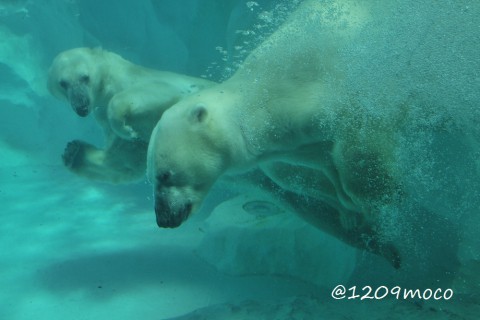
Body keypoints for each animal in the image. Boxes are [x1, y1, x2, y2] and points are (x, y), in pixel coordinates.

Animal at [48, 47, 214, 182]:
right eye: (63, 83)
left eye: (85, 77)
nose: (81, 106)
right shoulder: (103, 116)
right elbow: (127, 159)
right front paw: (73, 152)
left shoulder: (156, 83)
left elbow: (154, 92)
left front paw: (127, 130)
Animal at [148, 0, 404, 268]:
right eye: (151, 176)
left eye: (164, 175)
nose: (163, 219)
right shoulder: (298, 144)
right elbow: (323, 163)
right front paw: (348, 210)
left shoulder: (326, 94)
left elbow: (361, 139)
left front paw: (379, 205)